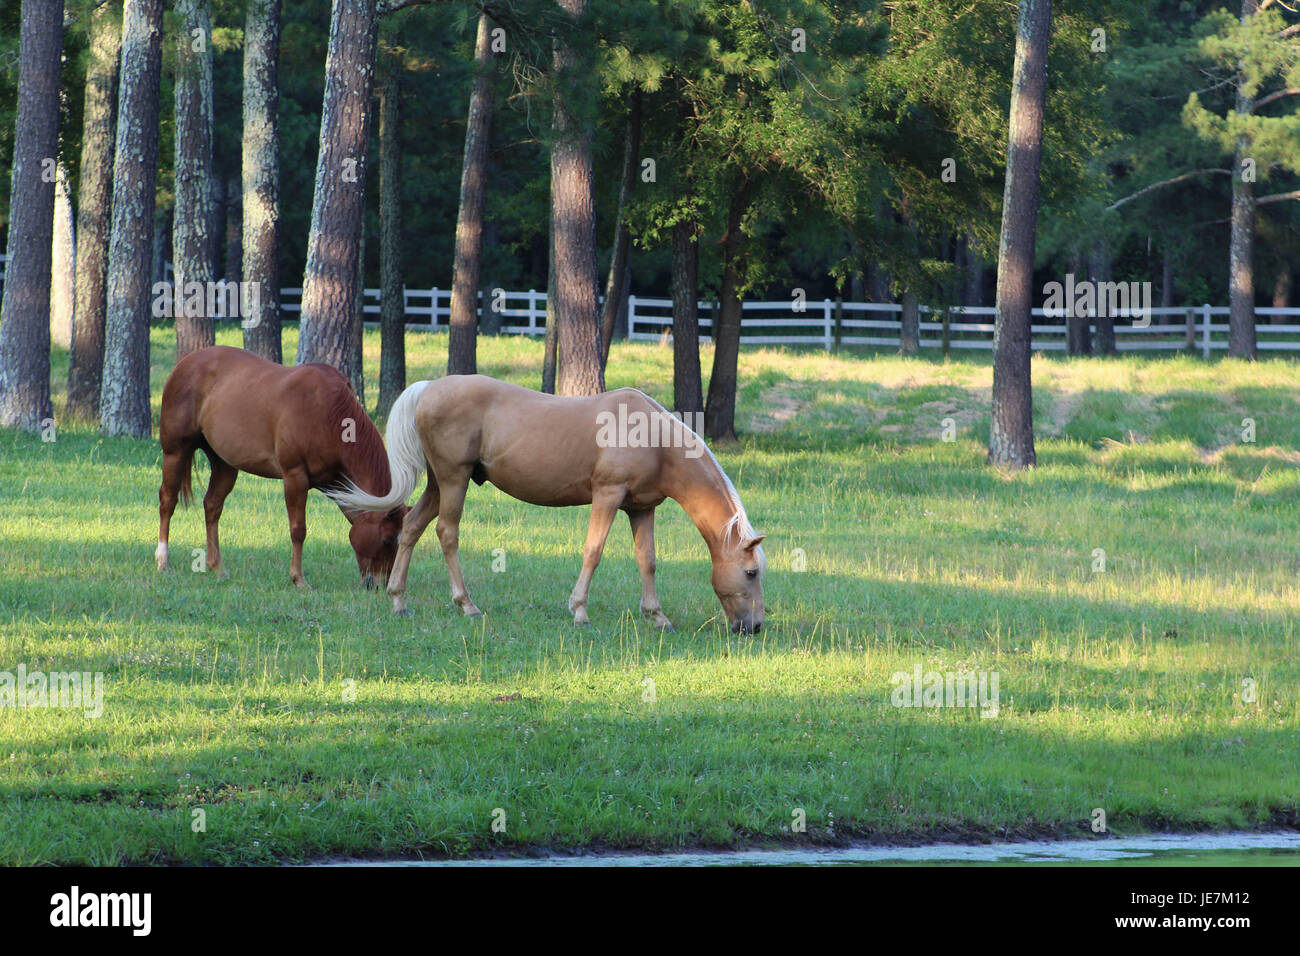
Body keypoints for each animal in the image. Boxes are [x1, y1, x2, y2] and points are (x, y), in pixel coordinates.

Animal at [155, 343, 405, 582]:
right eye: (387, 540)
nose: (378, 584)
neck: (329, 412)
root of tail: (186, 361)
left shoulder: (334, 482)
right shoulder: (295, 477)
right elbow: (298, 530)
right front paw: (298, 579)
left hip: (224, 465)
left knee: (212, 506)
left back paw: (218, 568)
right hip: (175, 453)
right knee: (168, 501)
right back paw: (163, 562)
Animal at [330, 374, 764, 634]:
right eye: (751, 573)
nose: (755, 626)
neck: (653, 438)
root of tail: (430, 386)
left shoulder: (641, 508)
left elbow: (648, 561)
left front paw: (657, 617)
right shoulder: (607, 496)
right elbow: (594, 551)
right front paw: (580, 610)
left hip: (439, 484)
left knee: (413, 527)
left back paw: (398, 600)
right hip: (454, 481)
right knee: (446, 533)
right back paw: (466, 605)